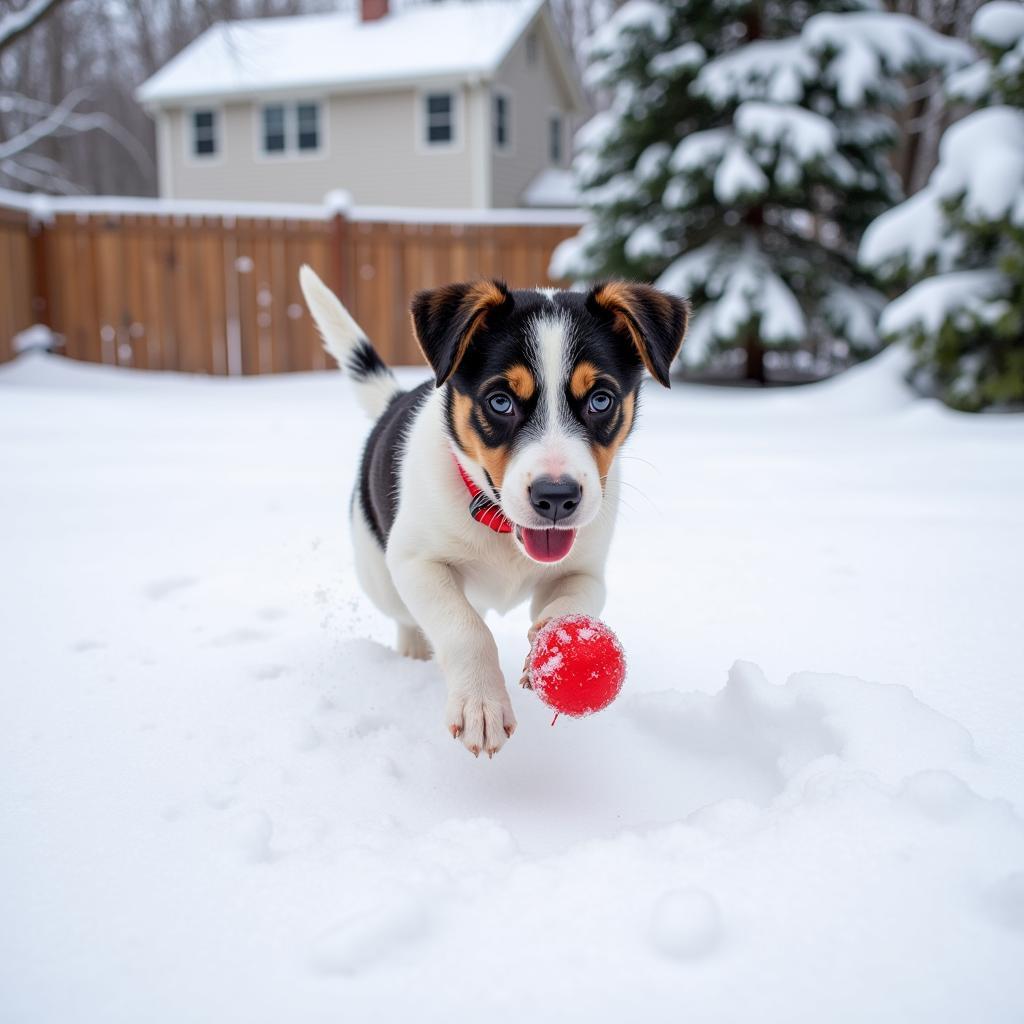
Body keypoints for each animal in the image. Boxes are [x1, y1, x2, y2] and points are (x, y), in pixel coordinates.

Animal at [299, 268, 692, 757]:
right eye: (500, 401)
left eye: (601, 400)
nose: (556, 496)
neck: (502, 527)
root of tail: (392, 401)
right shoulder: (416, 563)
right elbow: (464, 628)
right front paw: (481, 705)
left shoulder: (585, 569)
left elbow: (572, 602)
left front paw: (553, 643)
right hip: (378, 572)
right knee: (406, 616)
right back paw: (413, 653)